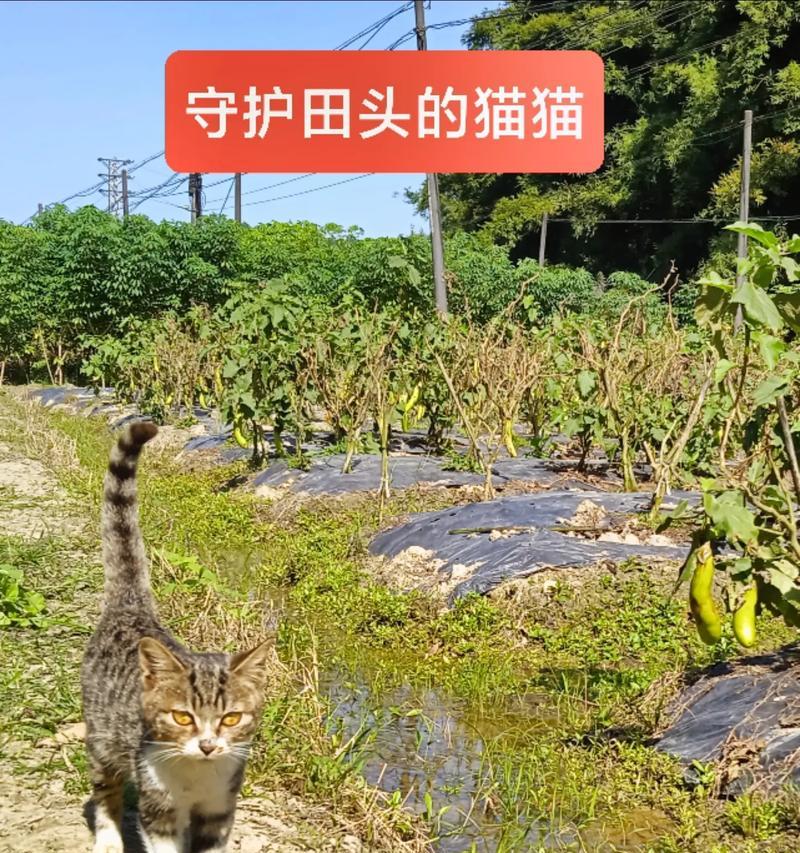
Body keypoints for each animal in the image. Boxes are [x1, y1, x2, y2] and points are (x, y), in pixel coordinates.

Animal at [80, 422, 272, 852]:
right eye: (182, 716)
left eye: (231, 717)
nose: (207, 745)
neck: (195, 776)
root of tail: (131, 606)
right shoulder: (159, 809)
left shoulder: (219, 808)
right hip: (101, 735)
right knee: (105, 787)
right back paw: (108, 838)